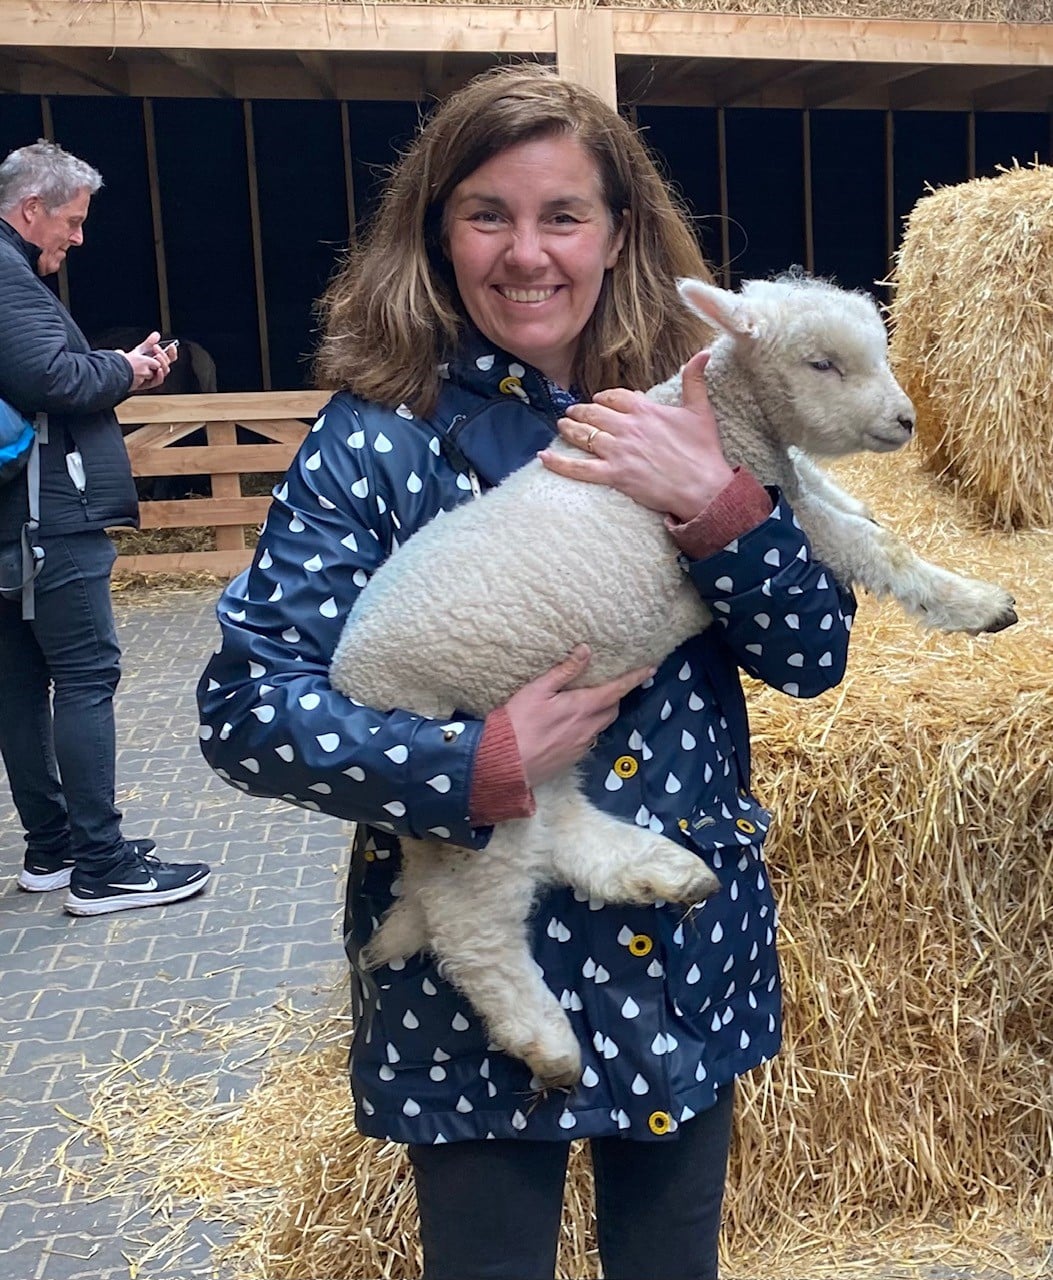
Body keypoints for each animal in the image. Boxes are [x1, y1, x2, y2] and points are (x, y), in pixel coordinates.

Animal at [330, 273, 1017, 1089]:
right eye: (821, 364)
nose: (904, 421)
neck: (727, 420)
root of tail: (348, 675)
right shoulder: (776, 506)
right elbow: (872, 546)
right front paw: (975, 603)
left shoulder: (781, 484)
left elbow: (843, 504)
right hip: (475, 765)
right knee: (470, 919)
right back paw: (546, 1041)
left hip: (535, 747)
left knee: (560, 836)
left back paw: (662, 873)